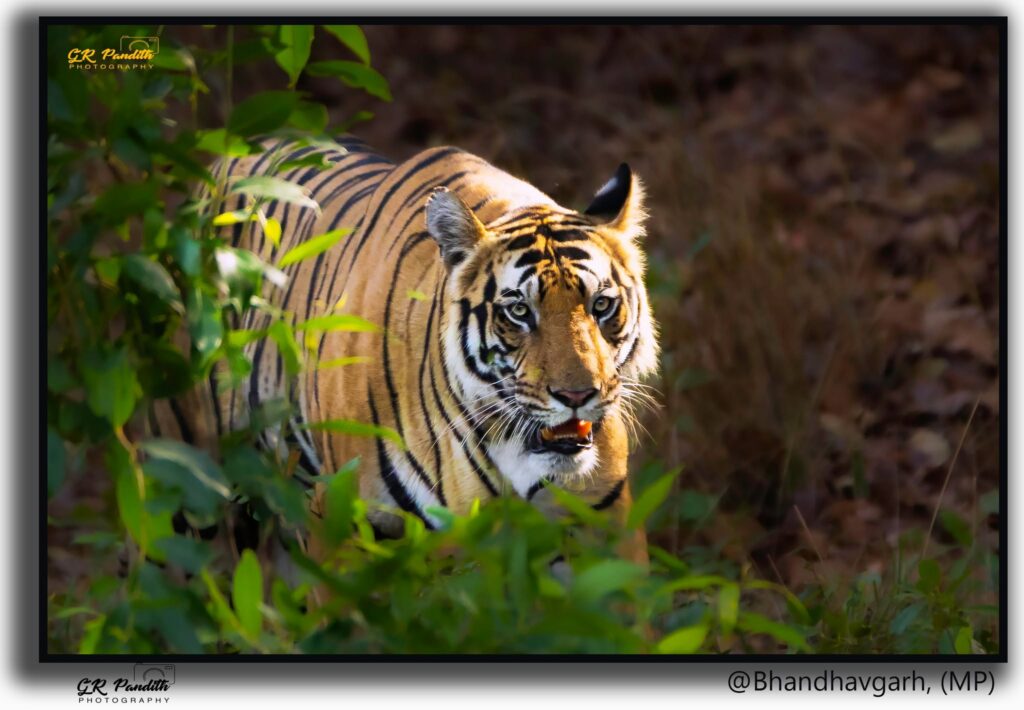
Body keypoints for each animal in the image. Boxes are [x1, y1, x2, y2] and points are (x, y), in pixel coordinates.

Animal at [159, 136, 658, 560]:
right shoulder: (340, 519)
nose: (577, 396)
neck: (512, 445)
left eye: (601, 305)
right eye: (519, 311)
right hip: (194, 487)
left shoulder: (605, 529)